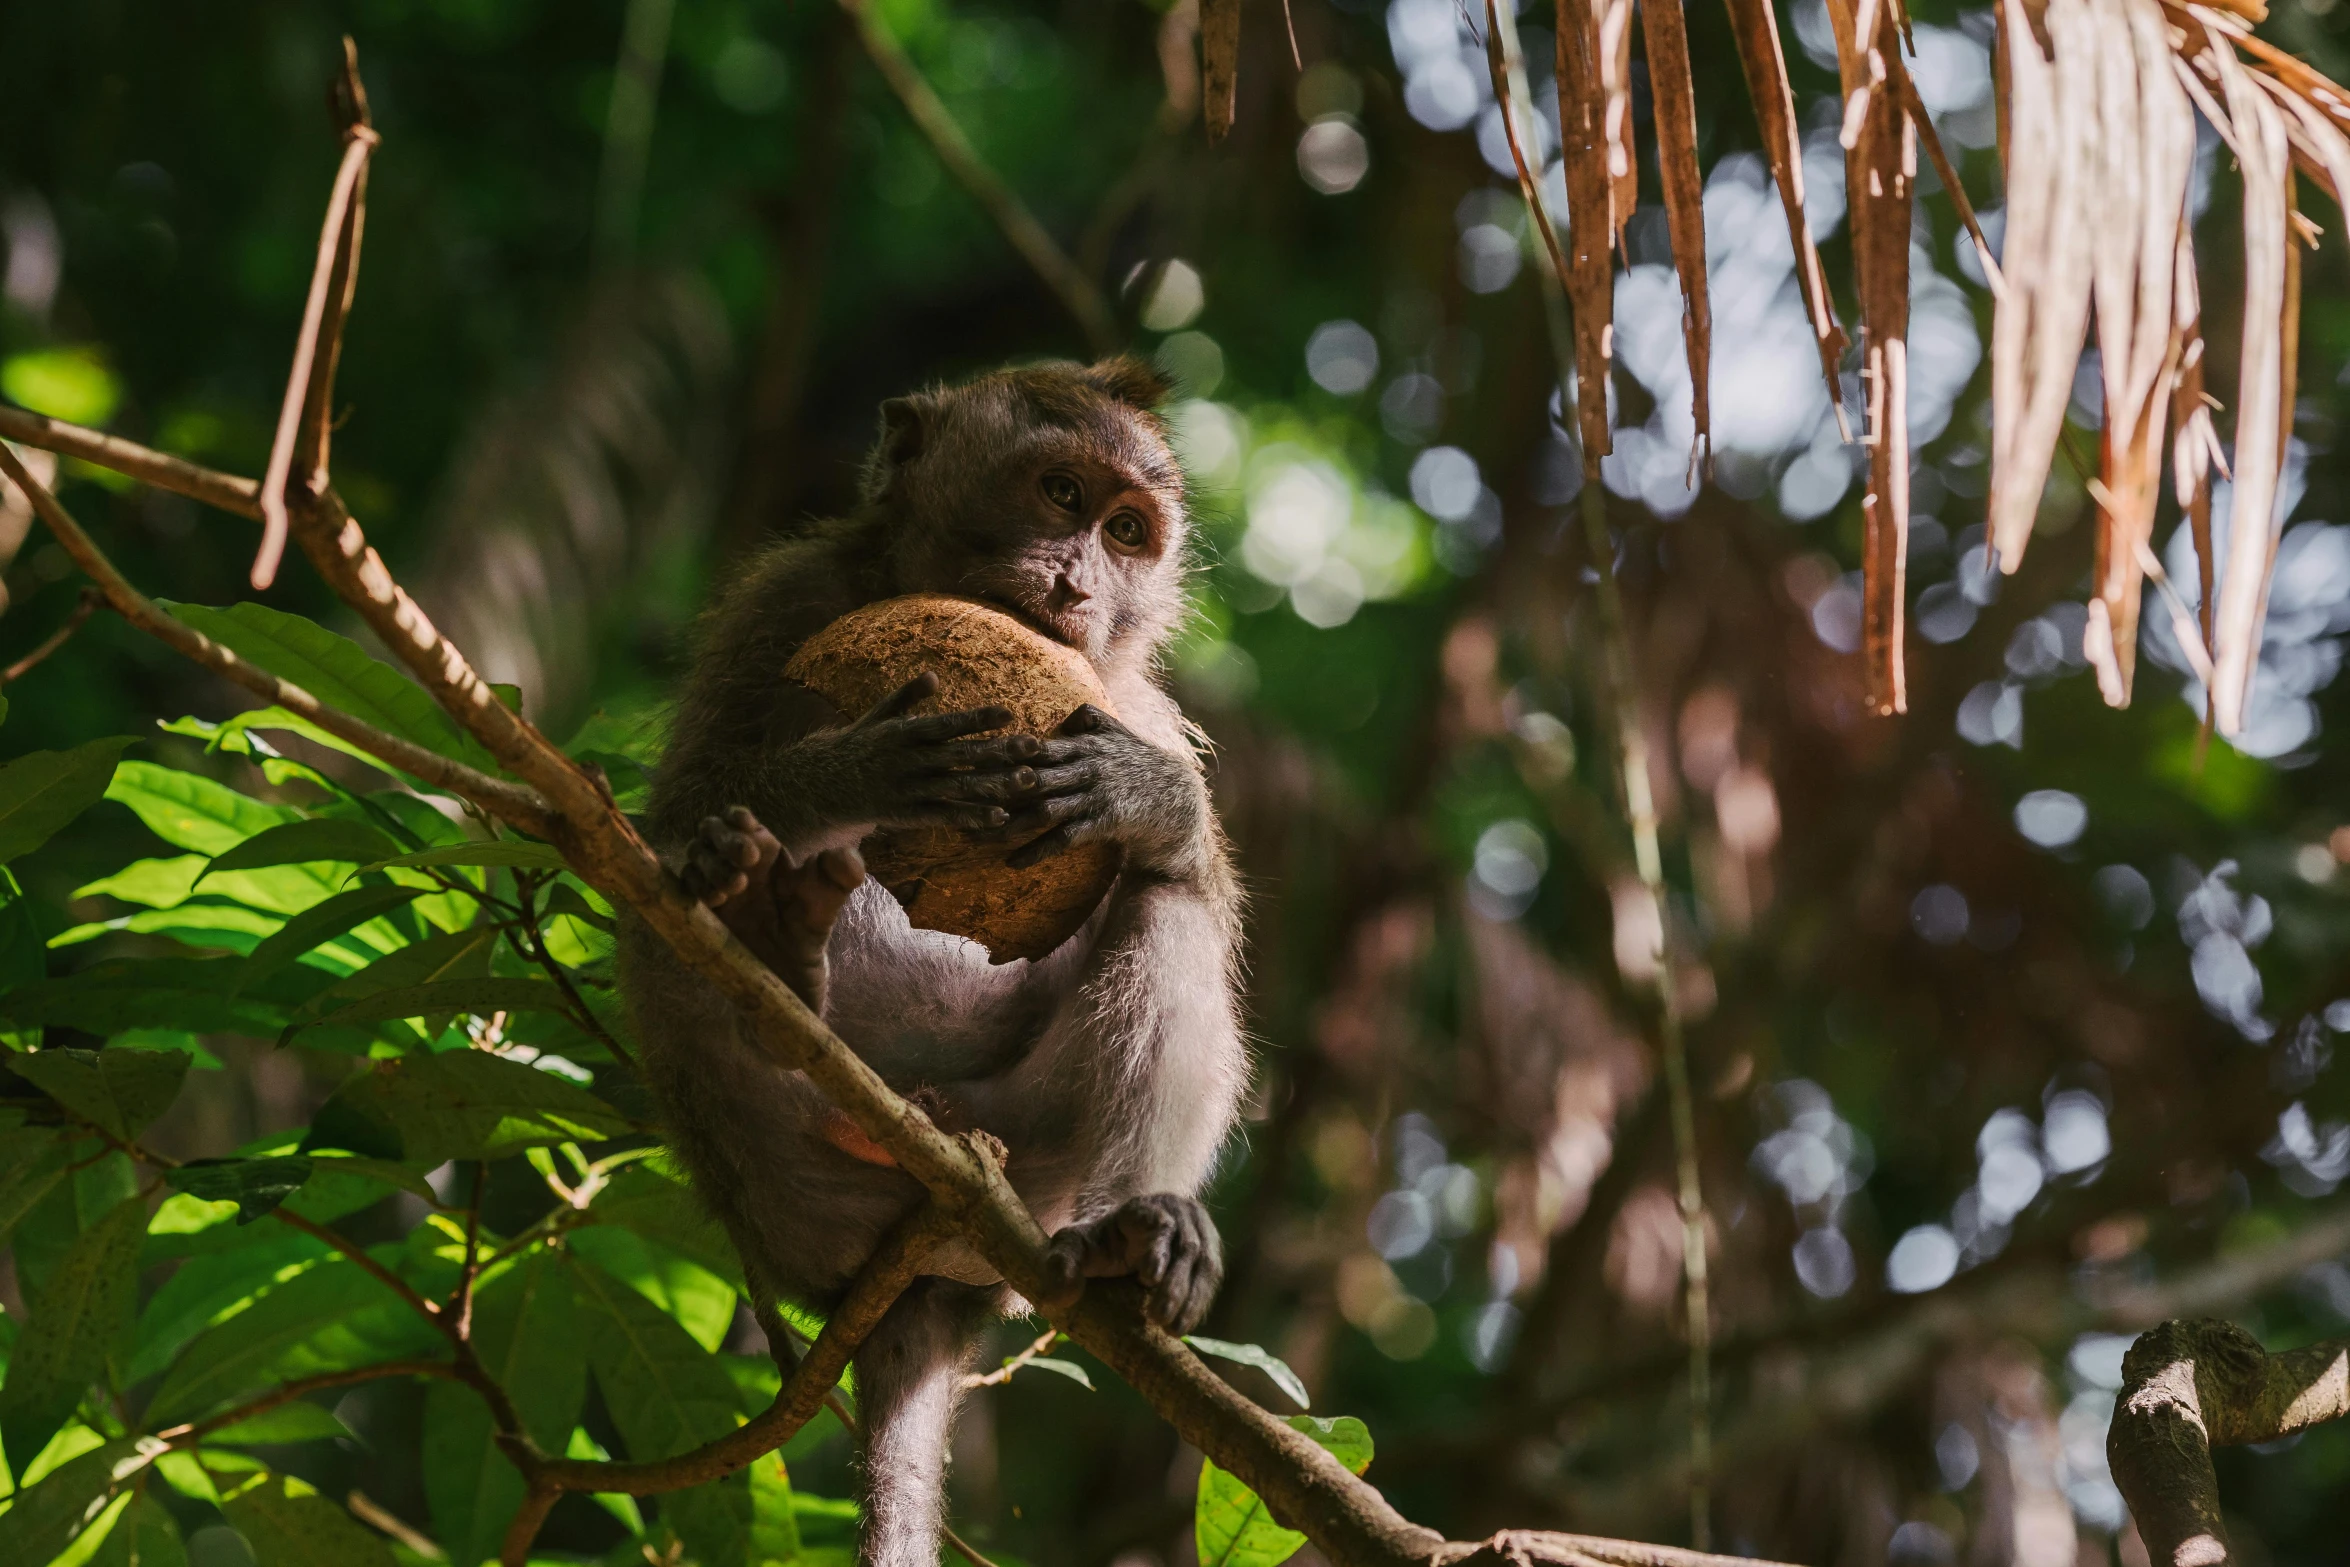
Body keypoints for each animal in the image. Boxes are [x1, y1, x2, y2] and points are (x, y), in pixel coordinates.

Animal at [620, 359, 1250, 1567]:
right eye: (1060, 492)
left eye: (1128, 532)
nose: (1076, 578)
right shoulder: (783, 600)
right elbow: (672, 825)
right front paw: (851, 770)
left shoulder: (1130, 702)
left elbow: (1190, 871)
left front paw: (1151, 799)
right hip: (780, 1188)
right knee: (668, 926)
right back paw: (776, 954)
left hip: (1035, 1173)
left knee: (1165, 908)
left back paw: (1131, 1233)